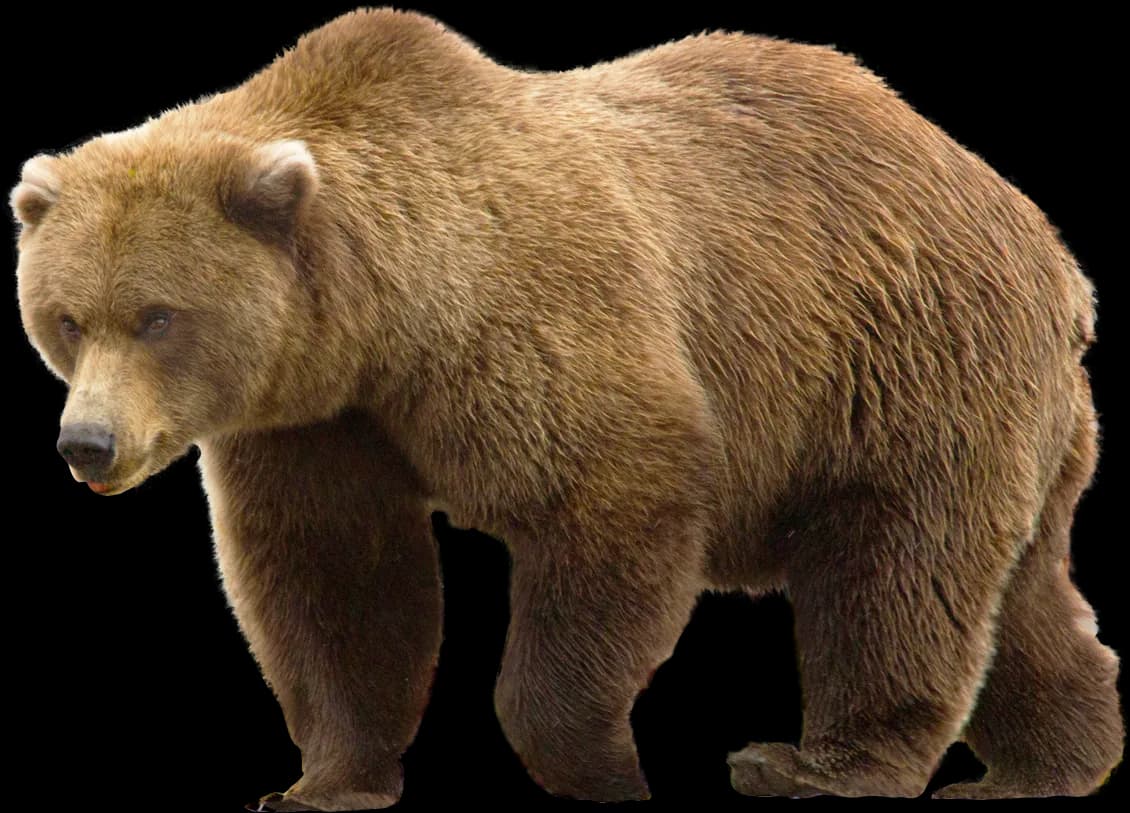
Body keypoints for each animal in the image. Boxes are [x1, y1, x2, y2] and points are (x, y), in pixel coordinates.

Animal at [10, 7, 1123, 810]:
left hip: (903, 363)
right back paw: (1045, 764)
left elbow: (610, 497)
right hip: (1011, 413)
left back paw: (816, 764)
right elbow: (335, 575)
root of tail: (1047, 246)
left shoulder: (532, 325)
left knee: (897, 566)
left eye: (158, 315)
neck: (384, 321)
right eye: (65, 317)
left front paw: (604, 767)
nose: (87, 443)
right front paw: (322, 781)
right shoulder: (316, 421)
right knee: (1022, 591)